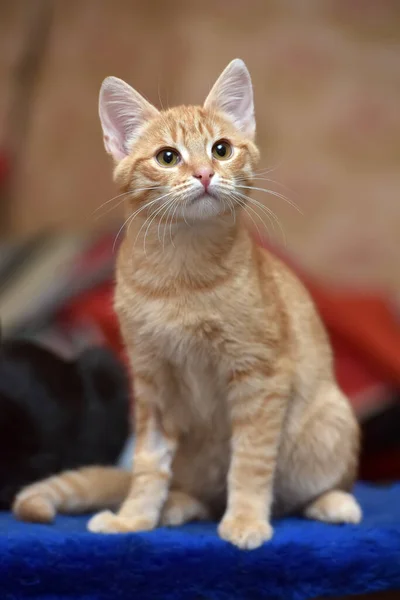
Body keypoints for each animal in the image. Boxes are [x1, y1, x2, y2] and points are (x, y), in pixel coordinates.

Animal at [14, 59, 360, 548]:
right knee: (199, 491)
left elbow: (251, 460)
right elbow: (147, 464)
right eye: (168, 157)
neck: (180, 278)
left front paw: (247, 520)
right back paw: (178, 505)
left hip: (331, 424)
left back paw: (331, 503)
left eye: (221, 149)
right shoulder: (151, 382)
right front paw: (133, 519)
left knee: (302, 491)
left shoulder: (261, 375)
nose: (204, 174)